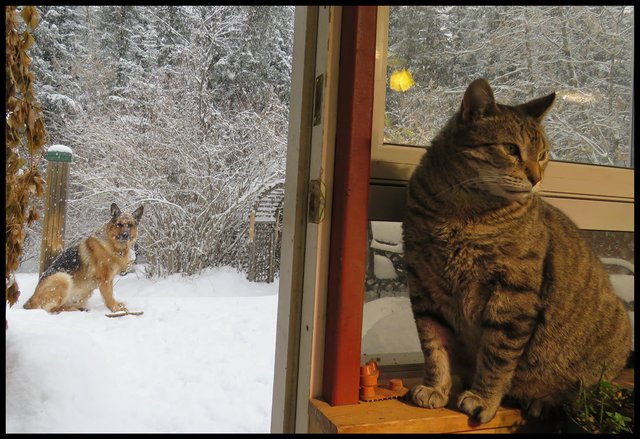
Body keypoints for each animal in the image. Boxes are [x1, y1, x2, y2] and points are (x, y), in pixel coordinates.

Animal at [402, 77, 632, 424]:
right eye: (511, 149)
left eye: (543, 154)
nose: (536, 178)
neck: (462, 214)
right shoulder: (423, 287)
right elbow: (434, 347)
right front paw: (436, 387)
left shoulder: (512, 296)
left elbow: (496, 357)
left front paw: (483, 398)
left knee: (582, 390)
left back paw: (541, 400)